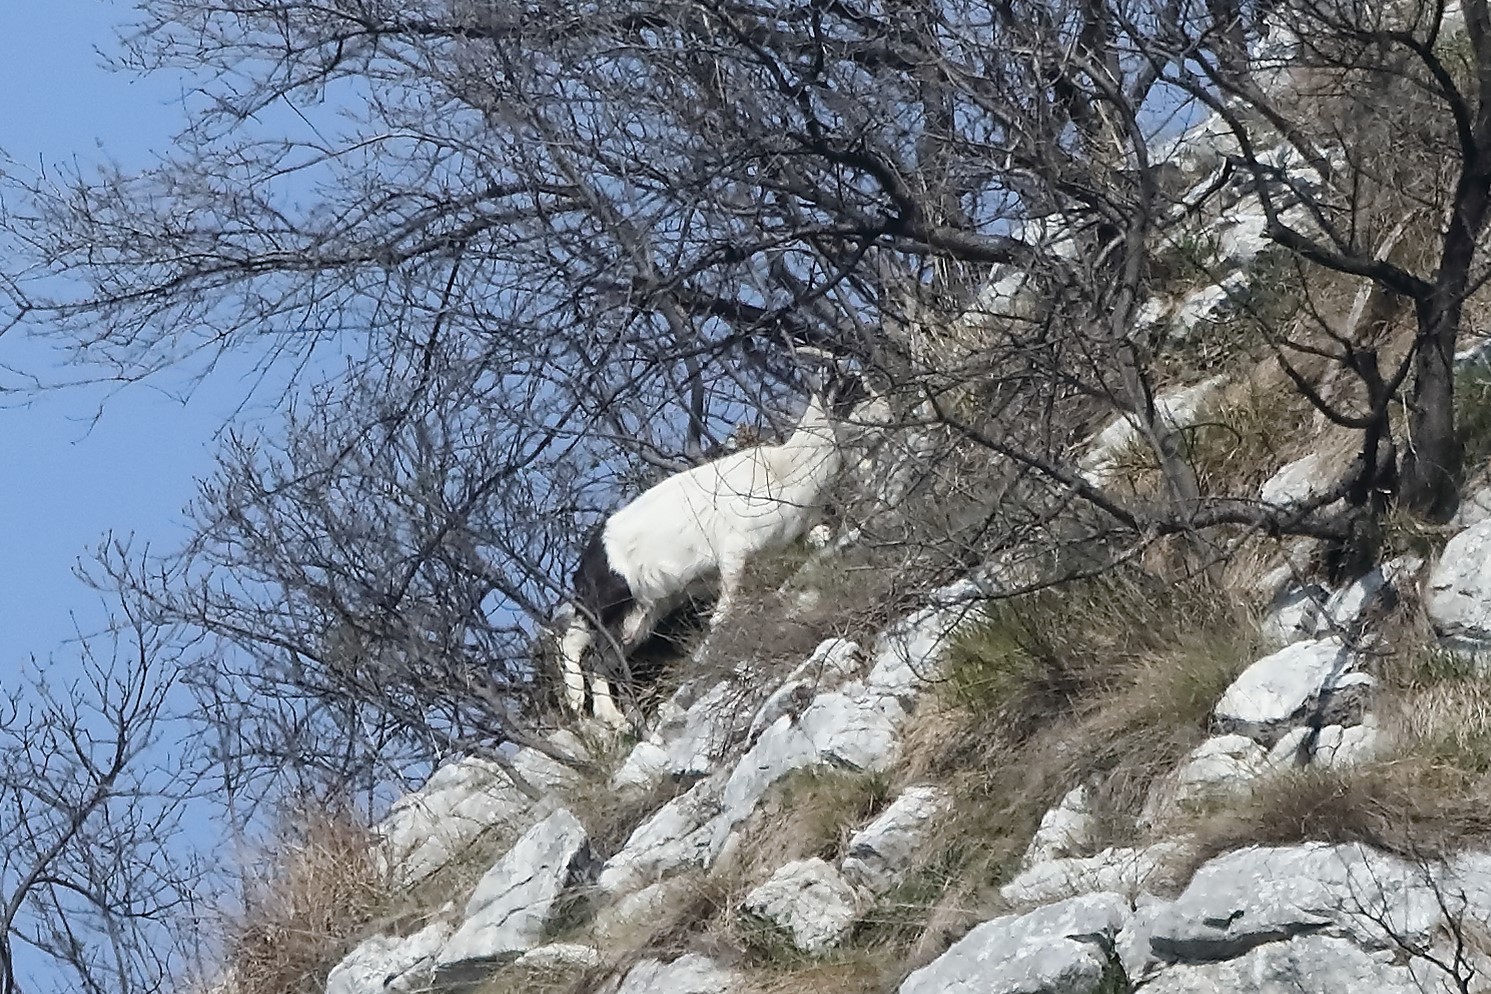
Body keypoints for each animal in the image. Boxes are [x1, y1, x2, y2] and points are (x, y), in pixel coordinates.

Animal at [554, 369, 882, 727]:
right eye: (855, 391)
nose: (888, 415)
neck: (783, 473)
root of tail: (590, 558)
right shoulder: (733, 554)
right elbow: (723, 614)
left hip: (642, 611)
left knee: (592, 650)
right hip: (613, 603)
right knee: (583, 648)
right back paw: (599, 712)